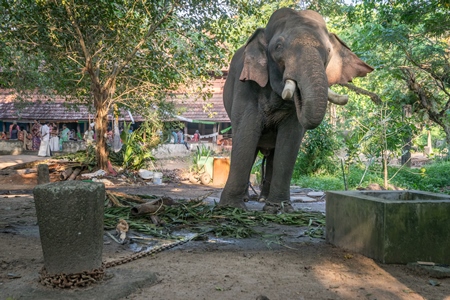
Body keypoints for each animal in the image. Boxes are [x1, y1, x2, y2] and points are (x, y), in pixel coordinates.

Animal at [218, 8, 372, 212]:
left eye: (328, 51)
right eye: (278, 46)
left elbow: (290, 138)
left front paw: (280, 209)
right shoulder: (245, 84)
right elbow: (246, 132)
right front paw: (231, 208)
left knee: (273, 155)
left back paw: (265, 201)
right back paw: (247, 199)